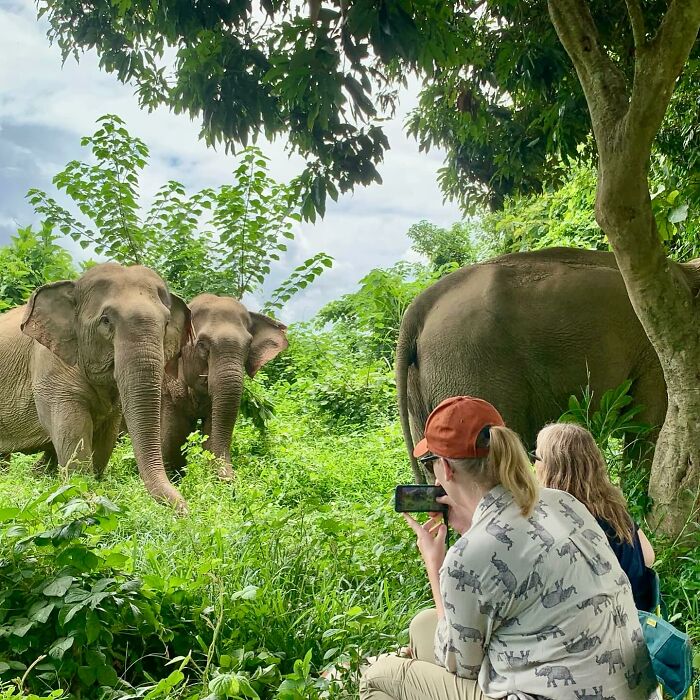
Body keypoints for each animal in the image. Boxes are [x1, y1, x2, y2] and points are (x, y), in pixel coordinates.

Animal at [0, 262, 191, 508]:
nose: (184, 510)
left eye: (167, 323)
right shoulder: (50, 371)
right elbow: (74, 439)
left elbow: (106, 440)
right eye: (106, 320)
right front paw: (83, 495)